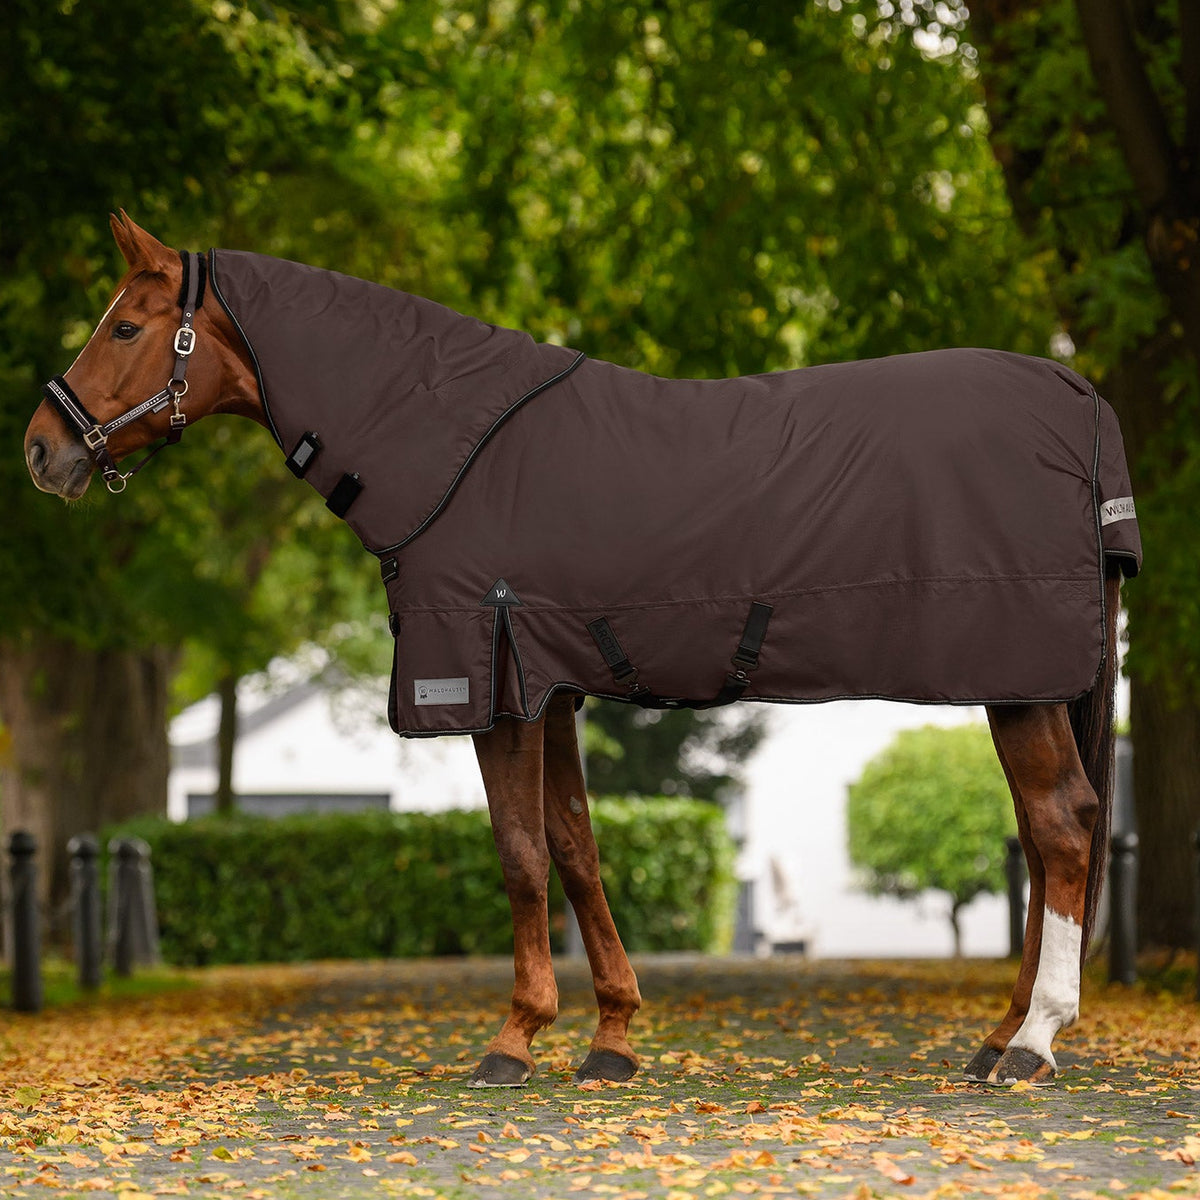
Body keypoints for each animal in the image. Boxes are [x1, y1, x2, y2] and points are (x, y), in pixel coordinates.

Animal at [25, 212, 1139, 1089]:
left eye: (125, 325)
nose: (43, 448)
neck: (451, 446)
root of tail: (1079, 399)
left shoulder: (491, 680)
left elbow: (520, 857)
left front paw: (514, 1041)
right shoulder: (547, 687)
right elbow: (576, 849)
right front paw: (611, 1038)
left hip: (1018, 682)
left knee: (1064, 828)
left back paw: (1034, 1043)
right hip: (1022, 685)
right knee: (1042, 837)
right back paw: (998, 1037)